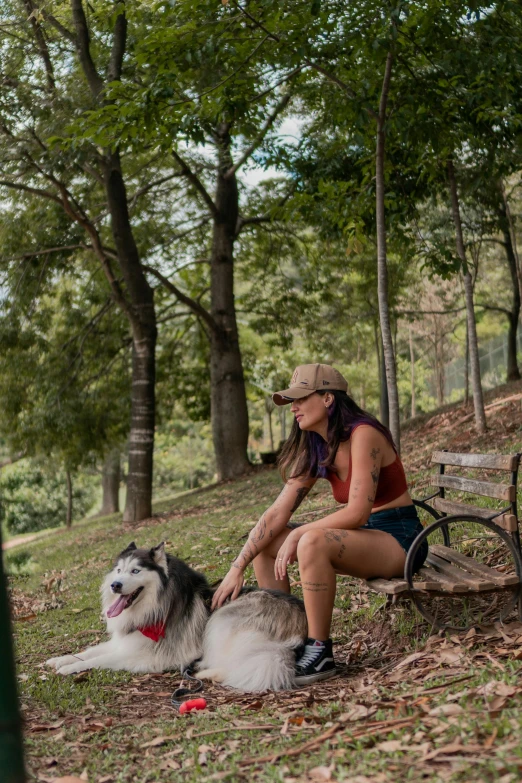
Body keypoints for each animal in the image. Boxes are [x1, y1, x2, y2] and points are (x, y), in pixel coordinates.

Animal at [44, 540, 306, 692]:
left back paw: (203, 671)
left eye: (135, 571)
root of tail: (301, 628)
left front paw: (69, 669)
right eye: (119, 570)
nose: (115, 585)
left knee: (229, 665)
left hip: (222, 620)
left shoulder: (146, 656)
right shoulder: (123, 642)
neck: (156, 605)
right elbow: (89, 651)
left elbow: (100, 659)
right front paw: (58, 660)